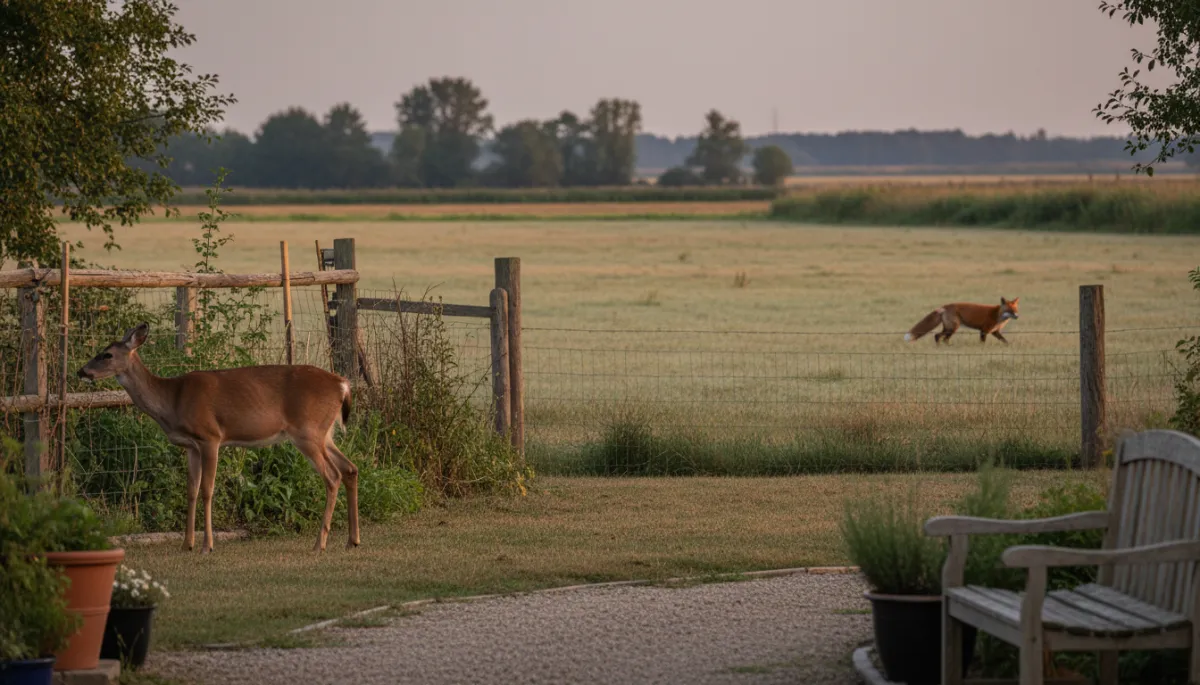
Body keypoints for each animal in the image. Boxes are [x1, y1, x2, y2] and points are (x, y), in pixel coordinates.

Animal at [77, 322, 360, 553]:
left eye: (107, 354)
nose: (82, 371)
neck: (172, 400)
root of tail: (342, 384)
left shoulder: (210, 437)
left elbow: (207, 490)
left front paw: (207, 545)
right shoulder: (190, 446)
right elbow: (191, 490)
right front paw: (186, 544)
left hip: (307, 432)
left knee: (333, 476)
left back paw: (319, 544)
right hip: (324, 433)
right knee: (350, 468)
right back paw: (352, 540)